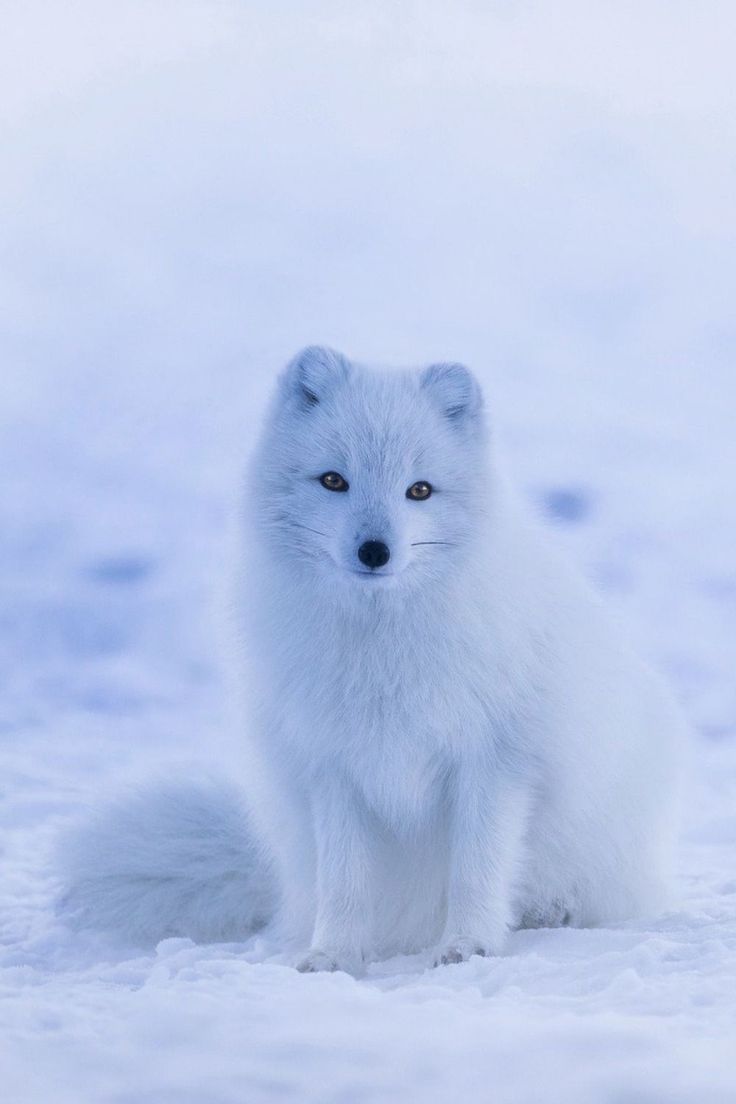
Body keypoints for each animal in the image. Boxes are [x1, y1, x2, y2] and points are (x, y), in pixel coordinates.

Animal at [60, 346, 688, 975]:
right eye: (333, 480)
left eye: (420, 490)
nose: (374, 551)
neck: (381, 647)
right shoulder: (333, 767)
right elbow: (345, 882)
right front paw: (333, 955)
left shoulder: (495, 762)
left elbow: (477, 869)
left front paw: (469, 946)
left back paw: (549, 912)